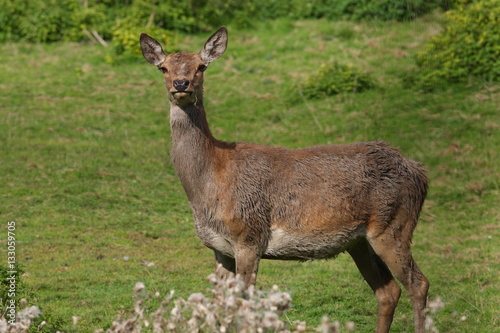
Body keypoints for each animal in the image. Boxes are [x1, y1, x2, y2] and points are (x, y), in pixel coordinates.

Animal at [140, 26, 430, 332]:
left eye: (201, 66)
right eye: (163, 67)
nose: (181, 83)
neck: (209, 183)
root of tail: (420, 172)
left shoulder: (249, 236)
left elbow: (244, 306)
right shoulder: (219, 248)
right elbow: (221, 307)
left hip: (394, 225)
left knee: (418, 284)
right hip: (360, 241)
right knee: (389, 291)